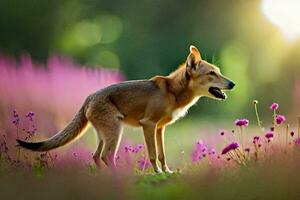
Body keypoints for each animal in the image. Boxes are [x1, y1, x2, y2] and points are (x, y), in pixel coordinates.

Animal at [17, 45, 236, 173]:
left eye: (219, 71)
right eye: (212, 73)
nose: (233, 83)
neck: (173, 92)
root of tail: (89, 97)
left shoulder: (160, 128)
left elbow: (162, 155)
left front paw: (167, 173)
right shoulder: (148, 125)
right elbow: (153, 155)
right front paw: (158, 174)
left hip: (105, 134)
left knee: (96, 156)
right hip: (115, 131)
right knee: (106, 156)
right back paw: (120, 176)